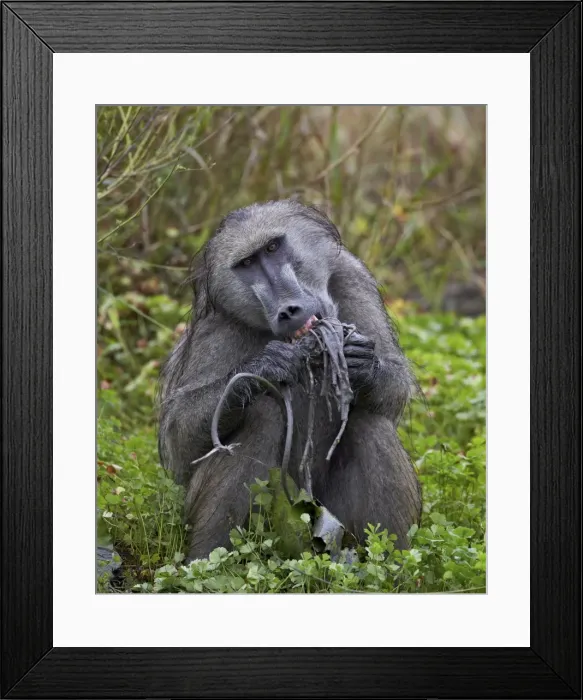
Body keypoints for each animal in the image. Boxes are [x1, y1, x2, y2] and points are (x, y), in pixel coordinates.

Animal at [158, 200, 421, 561]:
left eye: (272, 248)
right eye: (247, 263)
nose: (288, 310)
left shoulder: (352, 278)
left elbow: (394, 389)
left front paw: (361, 364)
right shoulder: (217, 323)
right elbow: (179, 439)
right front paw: (268, 366)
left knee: (369, 419)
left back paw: (391, 564)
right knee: (262, 416)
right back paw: (207, 563)